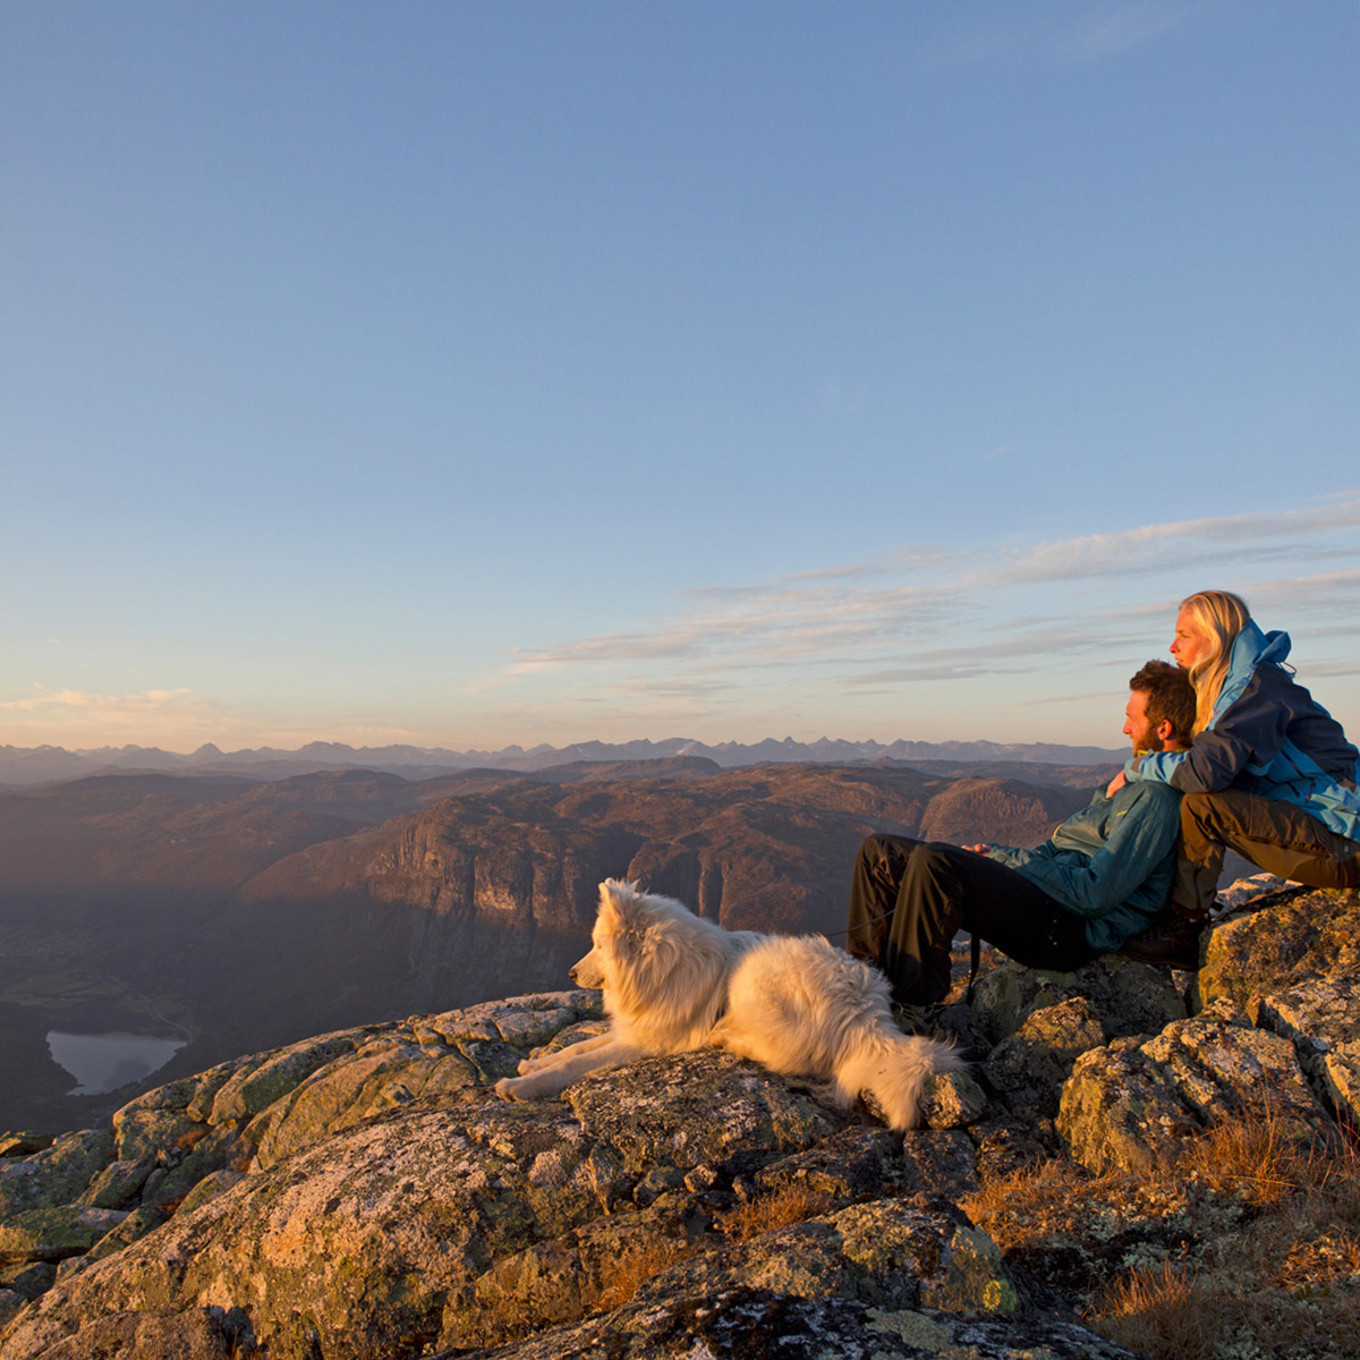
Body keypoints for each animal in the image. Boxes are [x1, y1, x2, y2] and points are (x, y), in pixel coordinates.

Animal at [495, 875, 962, 1131]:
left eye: (595, 945)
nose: (571, 974)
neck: (663, 966)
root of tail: (869, 1014)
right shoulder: (636, 1028)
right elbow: (576, 1047)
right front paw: (531, 1065)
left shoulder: (647, 1041)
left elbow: (578, 1063)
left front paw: (519, 1087)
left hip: (757, 989)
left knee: (790, 1056)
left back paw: (728, 1038)